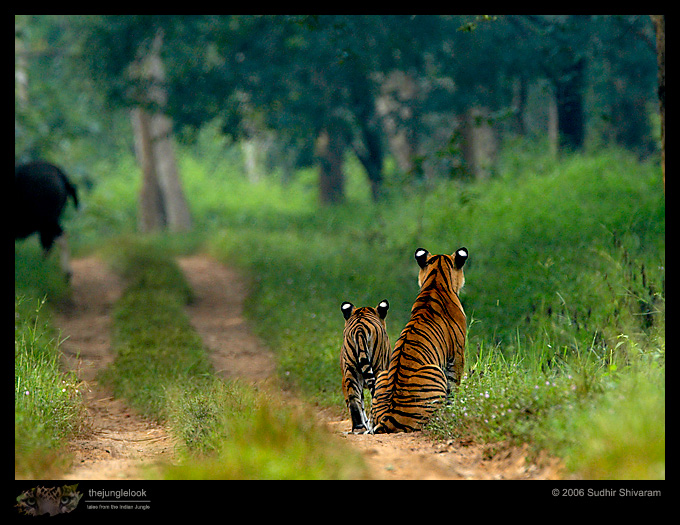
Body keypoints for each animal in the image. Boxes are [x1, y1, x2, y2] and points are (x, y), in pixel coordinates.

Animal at [370, 247, 468, 434]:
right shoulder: (458, 355)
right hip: (435, 371)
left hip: (382, 374)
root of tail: (388, 417)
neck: (435, 281)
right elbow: (454, 386)